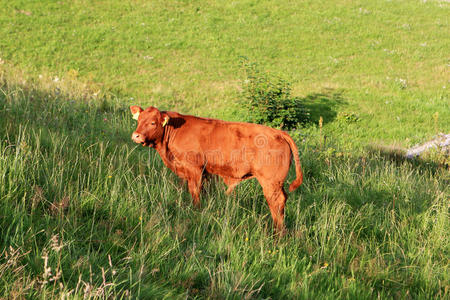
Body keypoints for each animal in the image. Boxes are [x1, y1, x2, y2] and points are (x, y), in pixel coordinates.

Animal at [132, 104, 304, 231]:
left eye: (153, 122)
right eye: (138, 120)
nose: (136, 135)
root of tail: (279, 133)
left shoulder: (194, 170)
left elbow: (195, 192)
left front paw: (196, 211)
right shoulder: (205, 173)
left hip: (270, 182)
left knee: (277, 202)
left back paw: (277, 233)